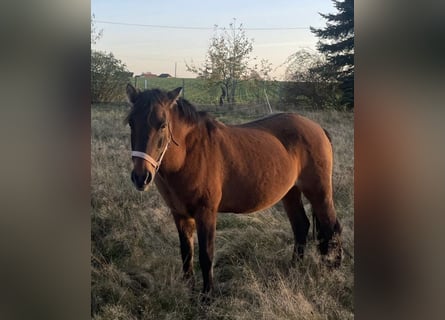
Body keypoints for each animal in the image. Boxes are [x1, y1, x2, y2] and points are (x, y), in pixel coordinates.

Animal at [125, 84, 344, 296]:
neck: (189, 154)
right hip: (291, 193)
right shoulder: (180, 214)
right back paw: (293, 269)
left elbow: (206, 255)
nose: (141, 177)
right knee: (301, 226)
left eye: (163, 125)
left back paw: (332, 271)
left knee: (332, 227)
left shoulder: (206, 213)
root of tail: (318, 129)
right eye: (131, 123)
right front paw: (188, 291)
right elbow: (186, 253)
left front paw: (207, 296)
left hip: (319, 192)